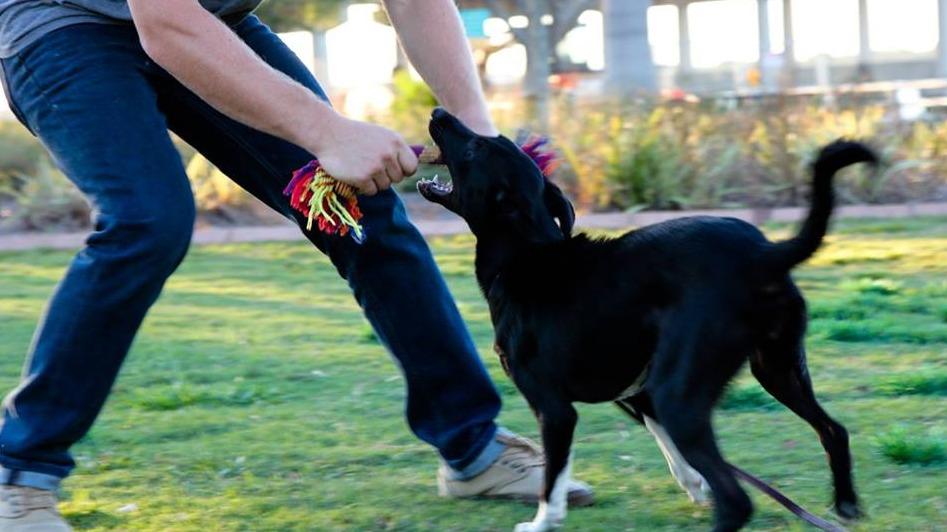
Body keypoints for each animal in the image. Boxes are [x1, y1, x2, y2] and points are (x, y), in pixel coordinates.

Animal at [418, 109, 876, 532]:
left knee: (738, 501)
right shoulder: (641, 393)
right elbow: (669, 448)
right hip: (776, 369)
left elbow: (554, 480)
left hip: (682, 396)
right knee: (833, 431)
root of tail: (765, 253)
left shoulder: (555, 409)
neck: (526, 254)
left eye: (475, 148)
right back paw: (846, 506)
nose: (439, 113)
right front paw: (693, 483)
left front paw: (541, 523)